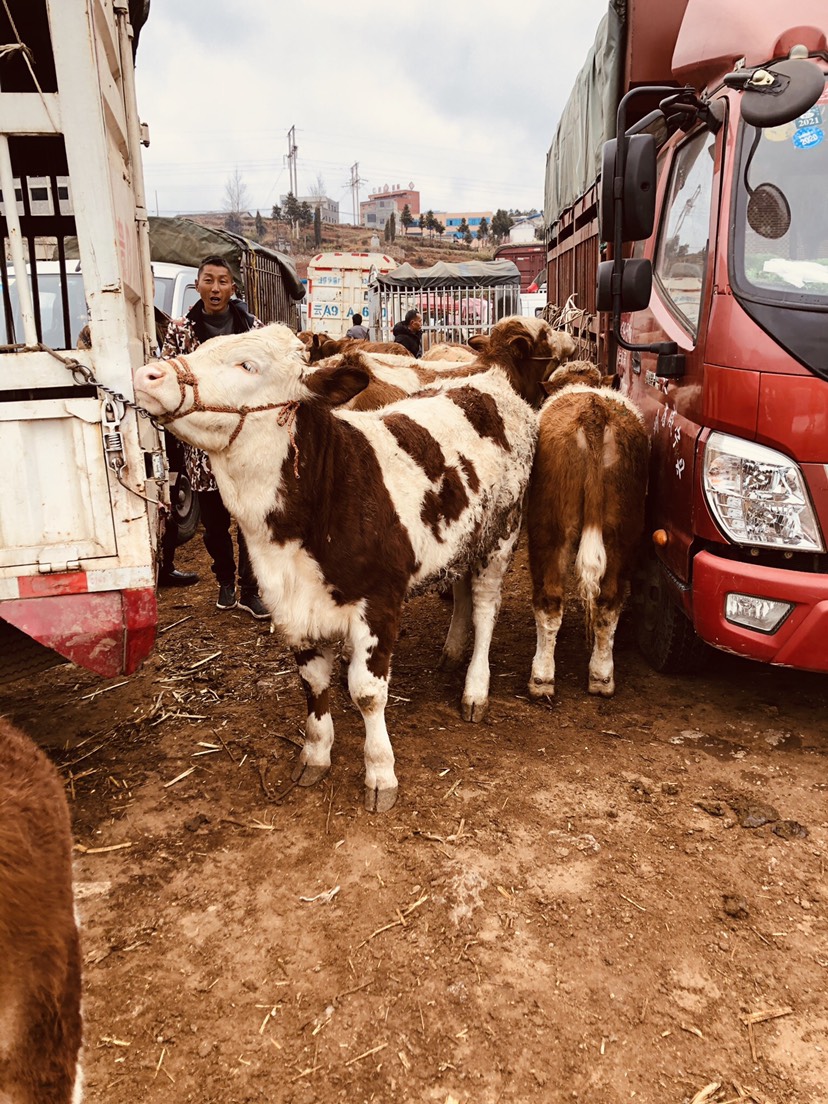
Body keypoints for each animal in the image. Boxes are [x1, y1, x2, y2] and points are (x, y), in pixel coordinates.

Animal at [136, 320, 538, 812]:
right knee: (461, 593)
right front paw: (315, 753)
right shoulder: (294, 608)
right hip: (462, 542)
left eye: (248, 365)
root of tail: (488, 378)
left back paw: (475, 687)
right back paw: (452, 651)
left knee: (484, 608)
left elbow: (366, 692)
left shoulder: (379, 606)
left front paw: (380, 772)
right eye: (201, 345)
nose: (149, 374)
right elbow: (313, 684)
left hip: (501, 536)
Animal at [527, 362, 653, 697]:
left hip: (549, 527)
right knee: (608, 603)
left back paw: (541, 677)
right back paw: (601, 676)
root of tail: (593, 413)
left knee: (550, 599)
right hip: (622, 531)